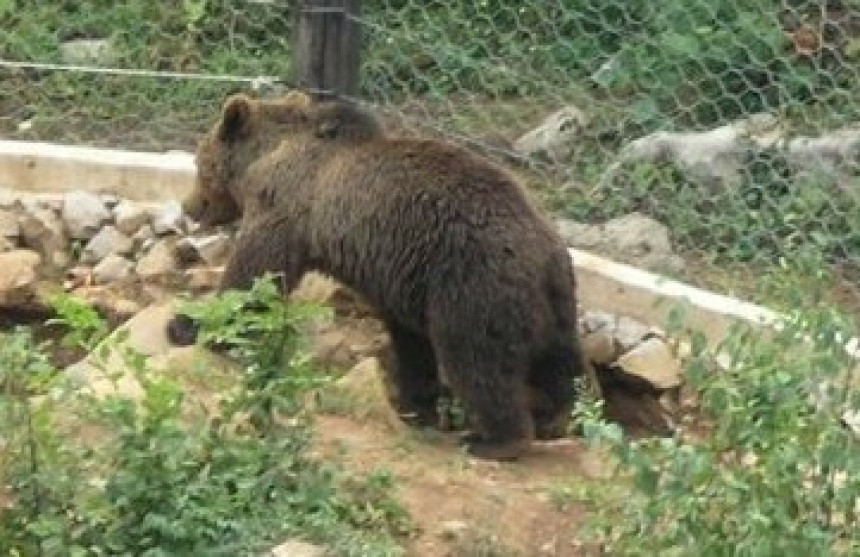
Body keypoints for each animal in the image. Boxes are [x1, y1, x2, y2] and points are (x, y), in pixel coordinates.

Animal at [168, 91, 584, 460]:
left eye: (199, 164)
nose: (189, 207)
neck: (262, 161)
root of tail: (545, 253)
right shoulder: (402, 280)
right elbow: (410, 342)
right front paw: (416, 404)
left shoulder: (287, 209)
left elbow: (255, 274)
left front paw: (186, 324)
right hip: (551, 299)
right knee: (558, 360)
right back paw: (553, 417)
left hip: (470, 281)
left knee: (476, 358)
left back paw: (494, 440)